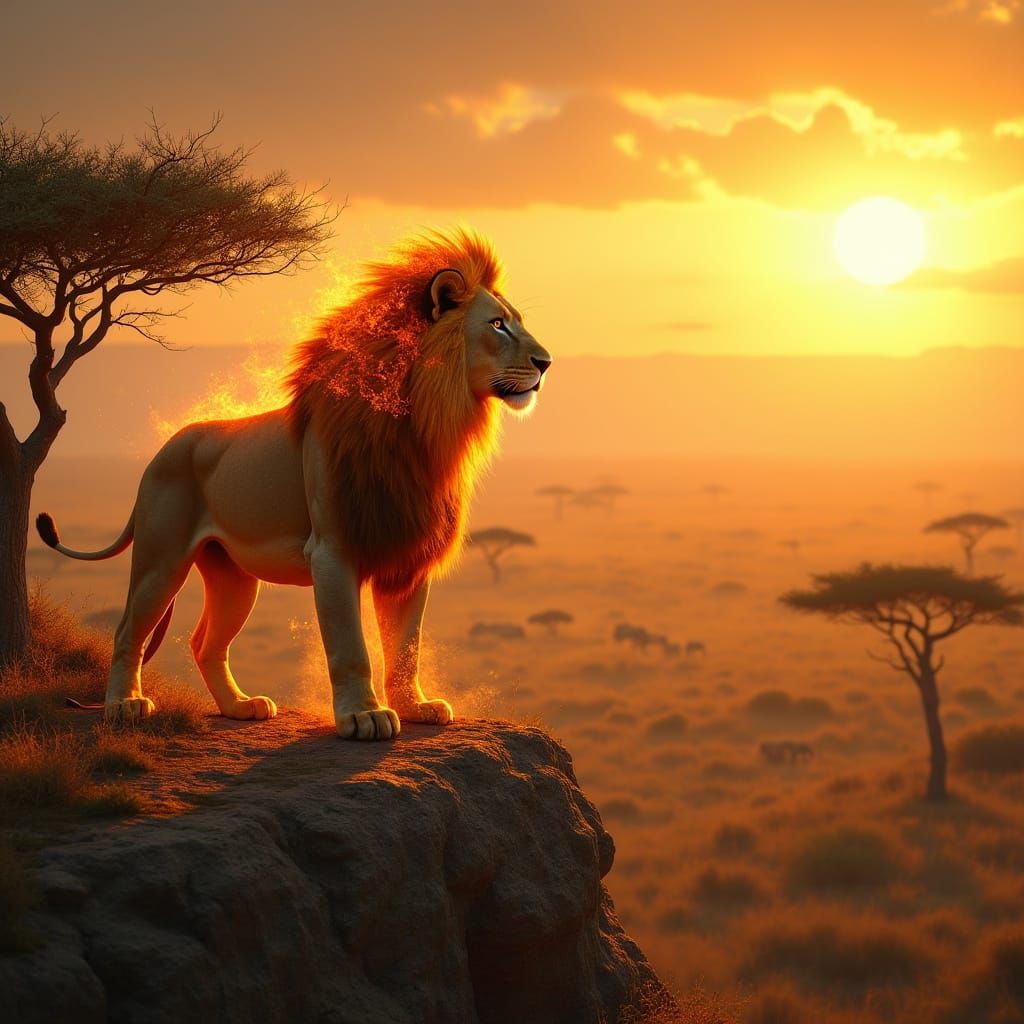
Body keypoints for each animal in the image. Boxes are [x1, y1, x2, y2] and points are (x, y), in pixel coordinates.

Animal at [36, 229, 552, 740]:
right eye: (498, 325)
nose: (546, 362)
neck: (425, 426)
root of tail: (161, 451)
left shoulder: (404, 553)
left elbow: (407, 647)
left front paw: (414, 705)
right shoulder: (332, 551)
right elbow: (350, 646)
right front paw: (363, 716)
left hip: (233, 577)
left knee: (205, 642)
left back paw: (239, 706)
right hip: (161, 558)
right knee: (128, 631)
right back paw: (123, 705)